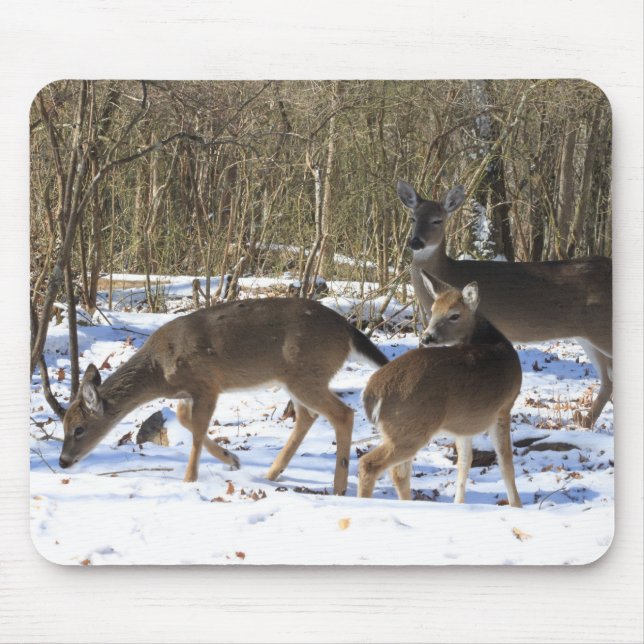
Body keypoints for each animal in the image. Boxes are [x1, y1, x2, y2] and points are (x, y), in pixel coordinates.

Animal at [59, 297, 388, 495]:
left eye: (79, 429)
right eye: (63, 425)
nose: (63, 461)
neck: (159, 369)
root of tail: (348, 329)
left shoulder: (207, 383)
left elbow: (196, 429)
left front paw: (189, 480)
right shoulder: (188, 392)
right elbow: (185, 420)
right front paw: (232, 460)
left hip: (306, 373)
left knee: (342, 413)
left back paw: (339, 486)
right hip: (295, 378)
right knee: (308, 416)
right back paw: (272, 473)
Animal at [358, 271, 523, 507]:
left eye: (454, 315)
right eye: (433, 310)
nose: (426, 337)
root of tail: (371, 393)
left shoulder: (463, 423)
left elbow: (465, 462)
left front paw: (458, 504)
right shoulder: (504, 407)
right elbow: (506, 462)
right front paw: (517, 506)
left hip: (397, 429)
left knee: (399, 473)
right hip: (411, 427)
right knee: (370, 464)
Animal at [396, 179, 613, 428]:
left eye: (437, 220)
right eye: (413, 218)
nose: (416, 242)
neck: (448, 271)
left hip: (603, 328)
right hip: (586, 336)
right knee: (609, 380)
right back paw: (584, 422)